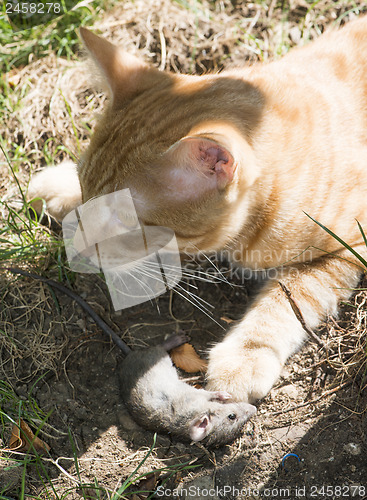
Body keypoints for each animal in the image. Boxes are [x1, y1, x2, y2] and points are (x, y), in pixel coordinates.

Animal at [28, 17, 367, 404]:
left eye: (127, 225)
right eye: (85, 189)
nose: (79, 253)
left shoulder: (348, 246)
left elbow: (291, 296)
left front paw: (244, 356)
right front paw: (60, 186)